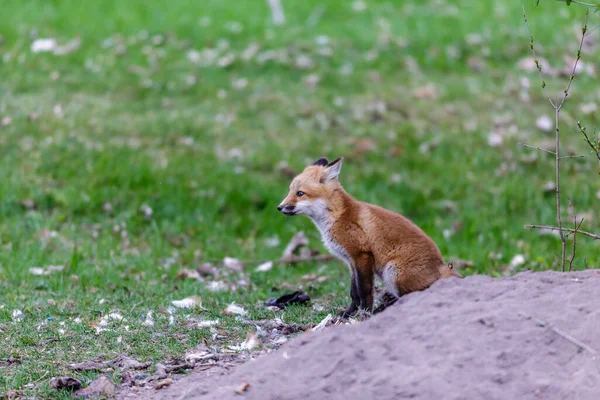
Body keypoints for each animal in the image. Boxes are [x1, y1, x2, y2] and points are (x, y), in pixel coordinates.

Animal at [278, 156, 464, 316]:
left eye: (300, 193)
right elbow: (353, 292)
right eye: (289, 191)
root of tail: (441, 266)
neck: (337, 217)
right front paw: (349, 313)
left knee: (414, 295)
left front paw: (365, 312)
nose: (279, 207)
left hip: (392, 272)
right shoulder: (350, 260)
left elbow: (364, 290)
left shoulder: (362, 255)